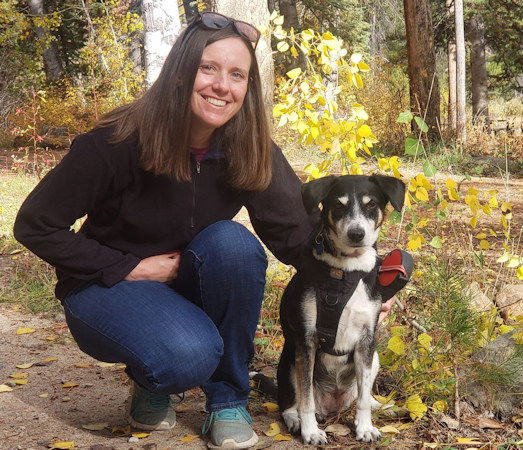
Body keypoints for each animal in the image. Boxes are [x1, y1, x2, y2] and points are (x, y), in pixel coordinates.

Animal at [276, 174, 408, 444]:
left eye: (371, 204)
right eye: (338, 205)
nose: (357, 234)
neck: (348, 270)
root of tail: (333, 406)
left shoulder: (367, 341)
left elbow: (364, 398)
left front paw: (365, 427)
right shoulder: (307, 340)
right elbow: (306, 398)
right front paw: (310, 431)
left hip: (374, 358)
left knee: (361, 396)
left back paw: (382, 406)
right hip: (290, 362)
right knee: (292, 401)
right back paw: (296, 420)